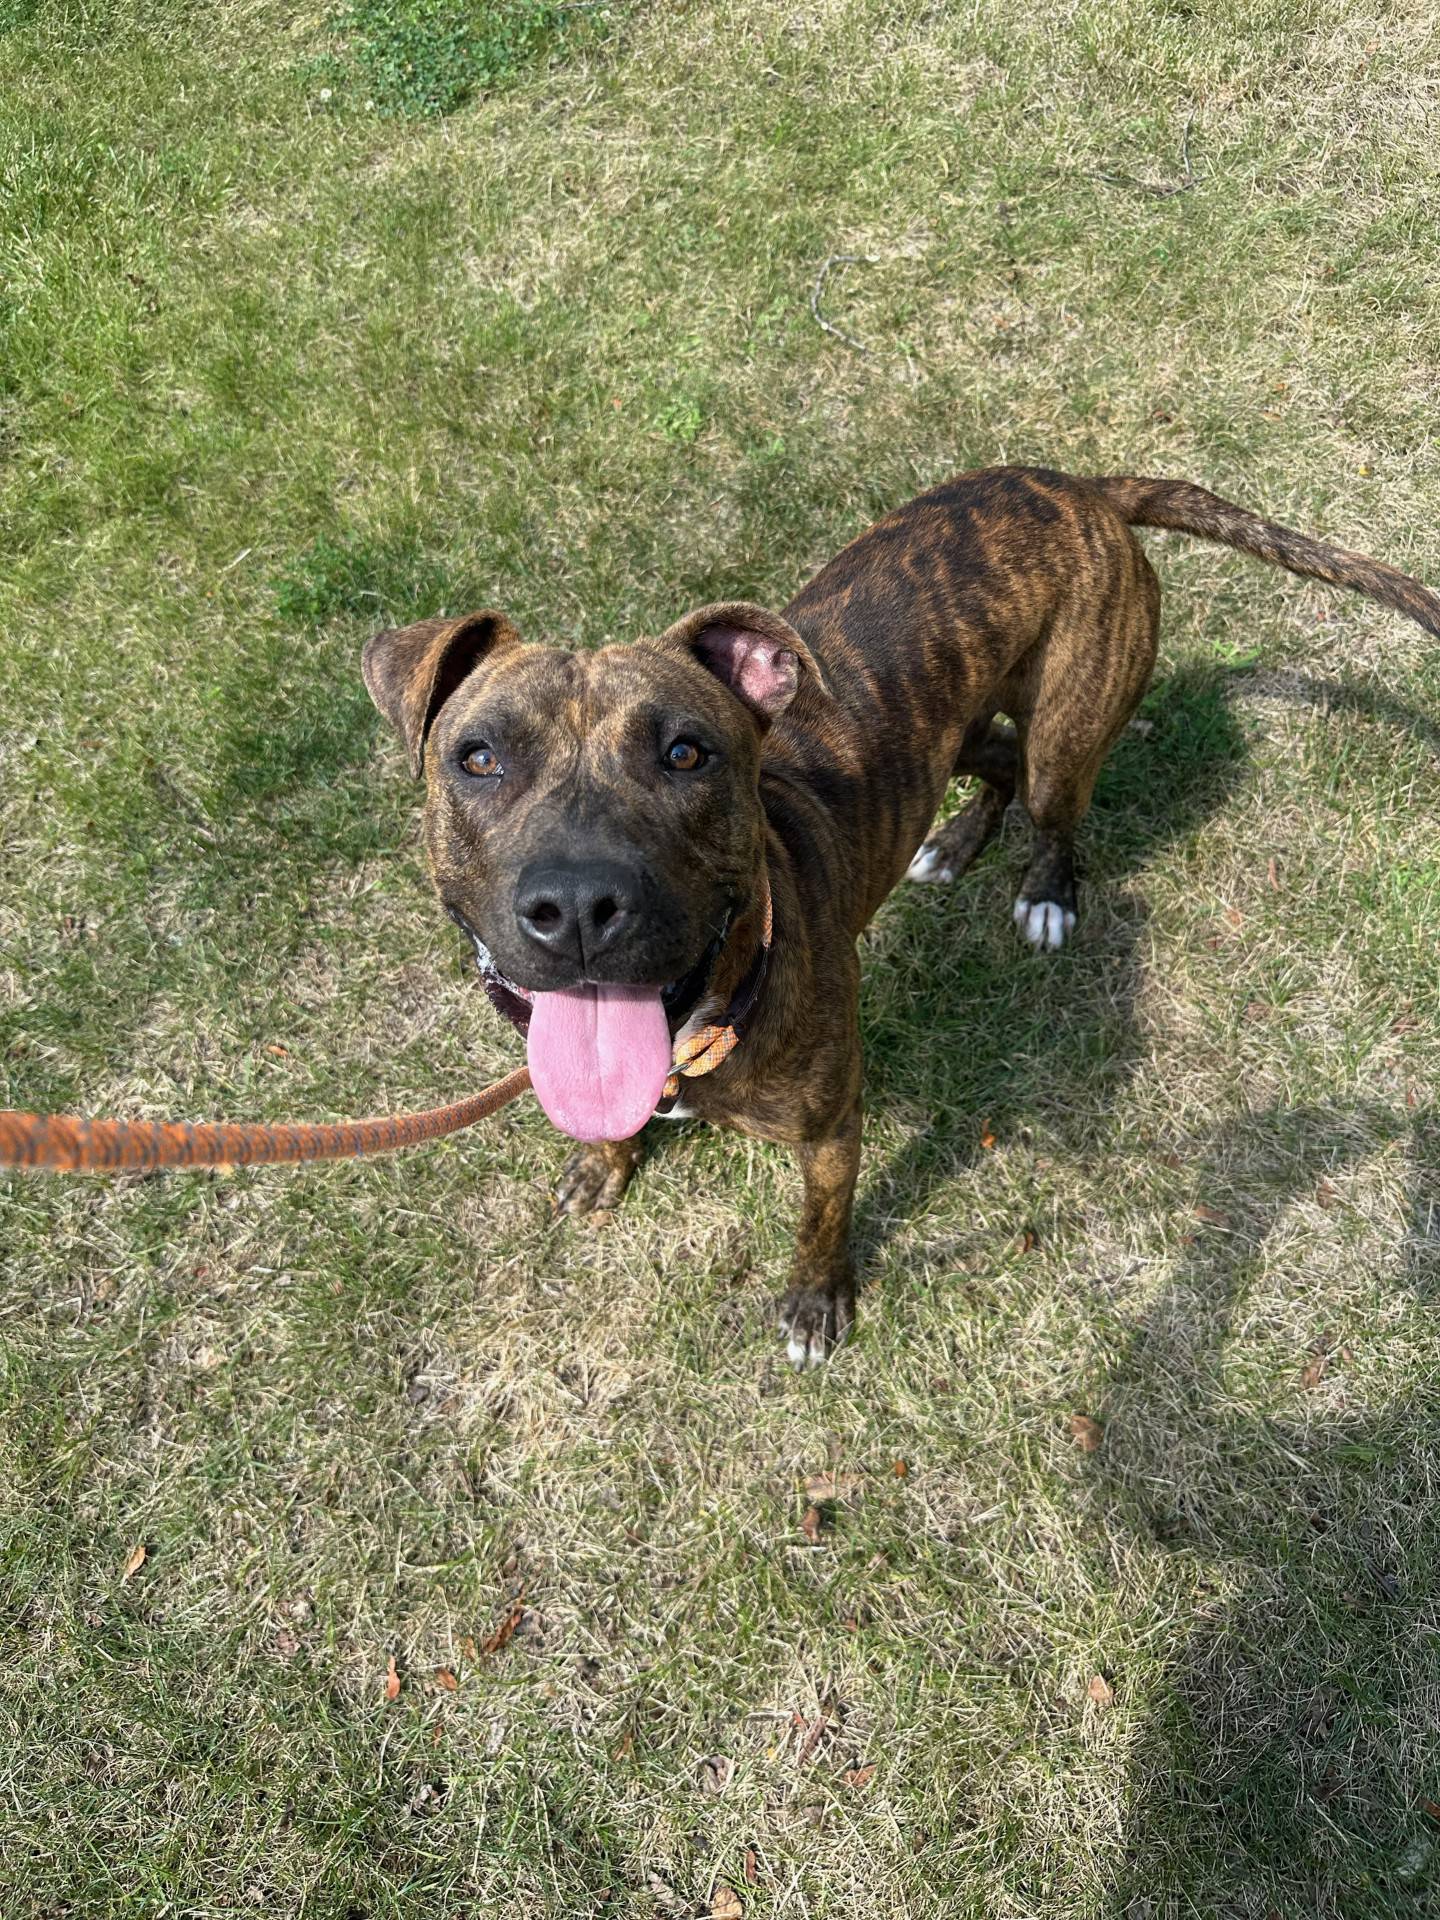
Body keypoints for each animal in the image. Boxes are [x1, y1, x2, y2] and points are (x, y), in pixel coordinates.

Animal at [362, 464, 1440, 1367]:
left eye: (685, 753)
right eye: (479, 757)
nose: (581, 903)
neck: (703, 1016)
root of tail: (1080, 485)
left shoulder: (833, 1129)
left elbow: (821, 1223)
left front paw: (815, 1305)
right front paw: (603, 1164)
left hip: (1068, 728)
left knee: (1051, 803)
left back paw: (1045, 894)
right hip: (954, 734)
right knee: (995, 765)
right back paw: (954, 844)